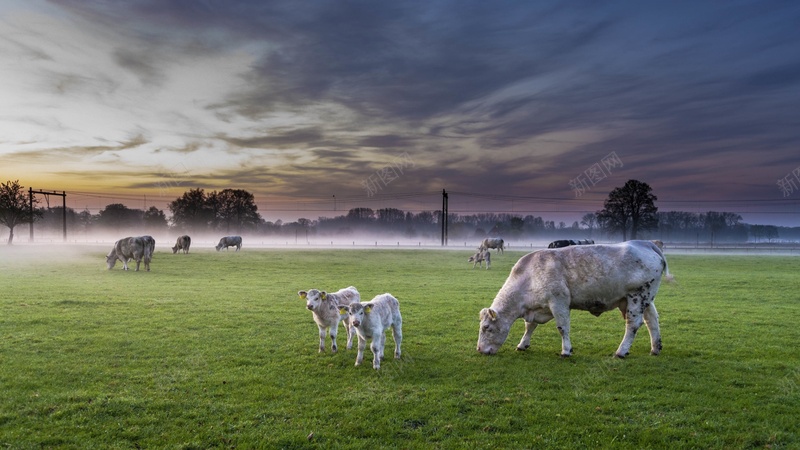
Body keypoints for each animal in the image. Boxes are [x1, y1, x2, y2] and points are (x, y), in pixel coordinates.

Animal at [478, 241, 672, 360]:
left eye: (486, 328)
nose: (479, 350)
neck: (528, 276)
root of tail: (644, 243)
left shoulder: (559, 302)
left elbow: (562, 327)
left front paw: (566, 350)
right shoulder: (537, 307)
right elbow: (530, 326)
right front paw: (522, 344)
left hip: (636, 296)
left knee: (633, 324)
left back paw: (621, 351)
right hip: (646, 298)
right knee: (652, 321)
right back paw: (655, 348)